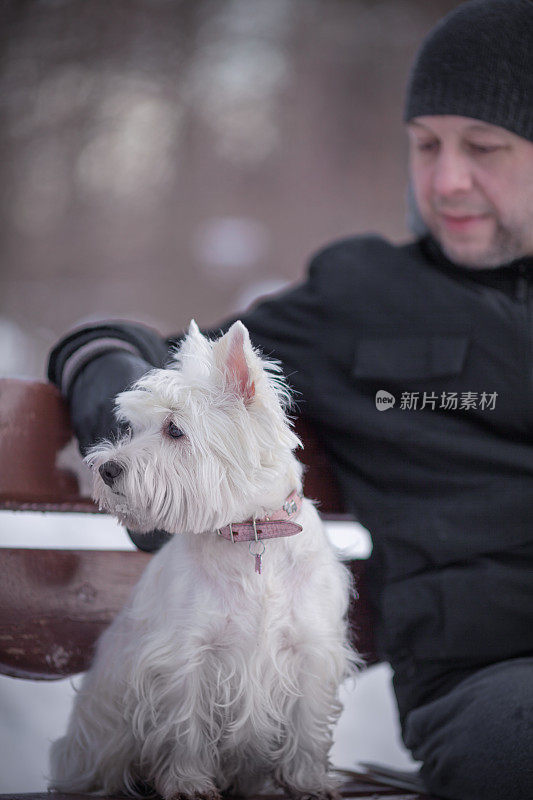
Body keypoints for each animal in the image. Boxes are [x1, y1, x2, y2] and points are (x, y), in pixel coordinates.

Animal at [50, 320, 358, 800]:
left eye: (175, 430)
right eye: (133, 427)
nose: (106, 469)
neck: (252, 535)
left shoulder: (311, 649)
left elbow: (306, 726)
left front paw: (309, 781)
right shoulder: (186, 656)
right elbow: (186, 727)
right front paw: (188, 783)